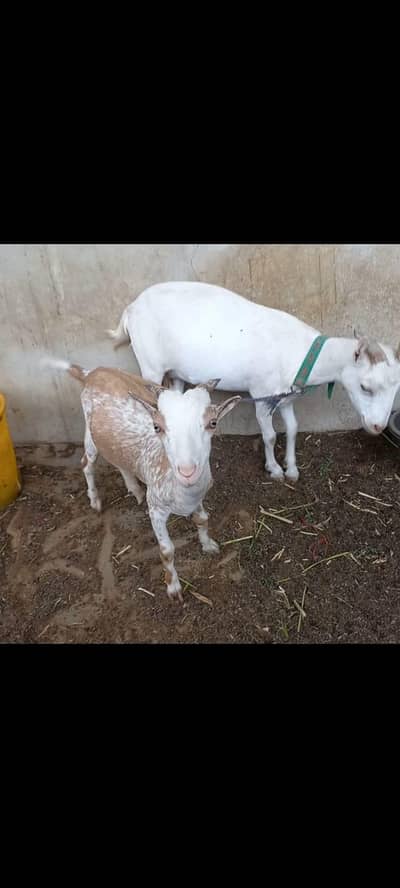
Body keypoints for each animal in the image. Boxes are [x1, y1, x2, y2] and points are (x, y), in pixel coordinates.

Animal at [43, 360, 242, 602]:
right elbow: (166, 551)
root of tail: (92, 372)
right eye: (157, 427)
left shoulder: (198, 497)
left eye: (213, 423)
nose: (187, 472)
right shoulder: (155, 508)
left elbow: (202, 519)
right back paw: (95, 500)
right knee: (86, 464)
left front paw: (208, 545)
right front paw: (173, 588)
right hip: (90, 432)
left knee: (118, 460)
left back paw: (134, 489)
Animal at [107, 281, 400, 481]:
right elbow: (269, 435)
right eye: (365, 386)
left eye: (395, 388)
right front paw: (274, 469)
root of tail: (130, 309)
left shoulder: (286, 397)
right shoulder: (262, 394)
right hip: (150, 365)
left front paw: (292, 468)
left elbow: (293, 429)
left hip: (177, 372)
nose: (378, 426)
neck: (296, 351)